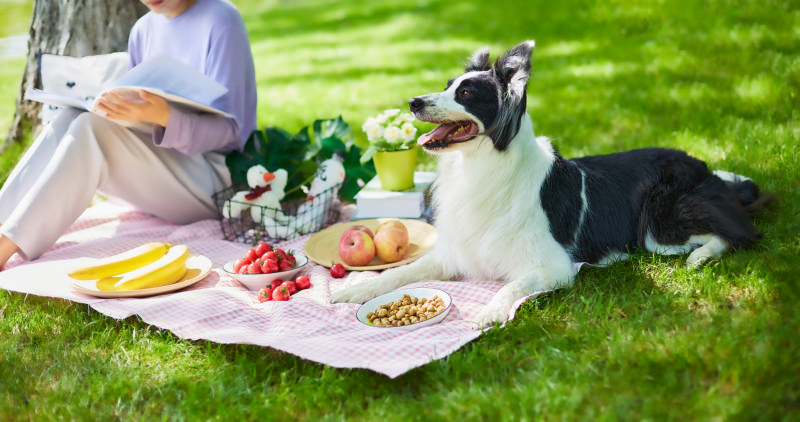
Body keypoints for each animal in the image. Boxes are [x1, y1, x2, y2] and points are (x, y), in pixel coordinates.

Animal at [330, 41, 764, 328]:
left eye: (466, 93)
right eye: (448, 84)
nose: (413, 102)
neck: (482, 166)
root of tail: (702, 165)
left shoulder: (554, 265)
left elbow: (512, 285)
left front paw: (489, 311)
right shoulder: (455, 254)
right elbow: (398, 273)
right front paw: (353, 291)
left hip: (659, 226)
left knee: (740, 232)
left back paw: (700, 257)